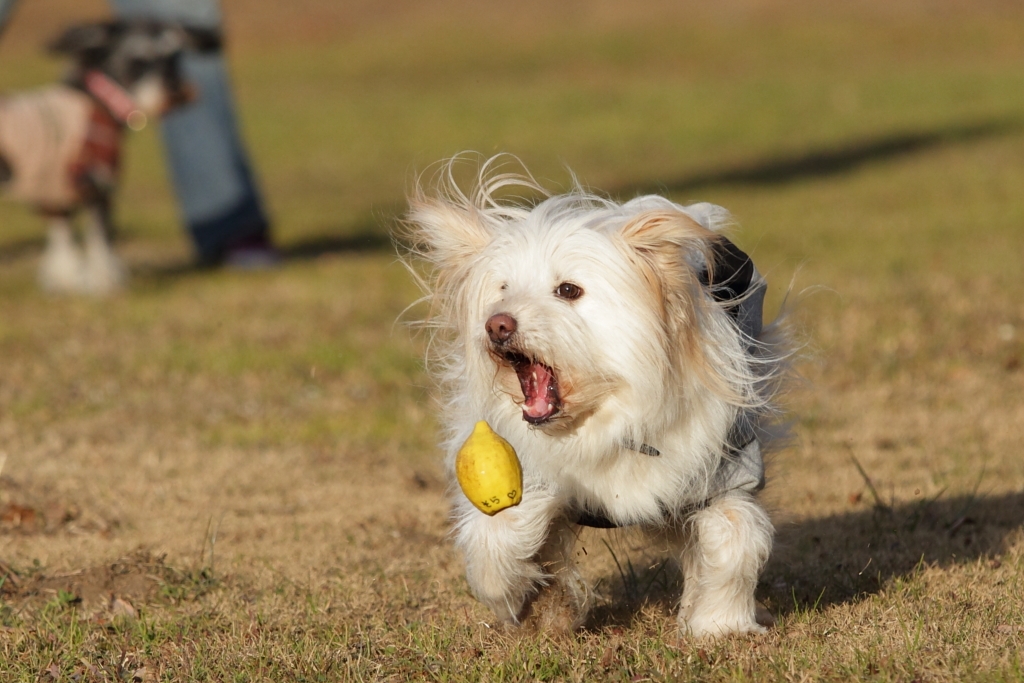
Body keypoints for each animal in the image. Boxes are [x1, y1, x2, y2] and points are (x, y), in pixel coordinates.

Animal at [403, 157, 786, 638]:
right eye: (502, 289)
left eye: (568, 290)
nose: (497, 324)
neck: (607, 415)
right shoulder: (522, 468)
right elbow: (501, 537)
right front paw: (533, 604)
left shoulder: (725, 470)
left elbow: (735, 536)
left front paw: (720, 625)